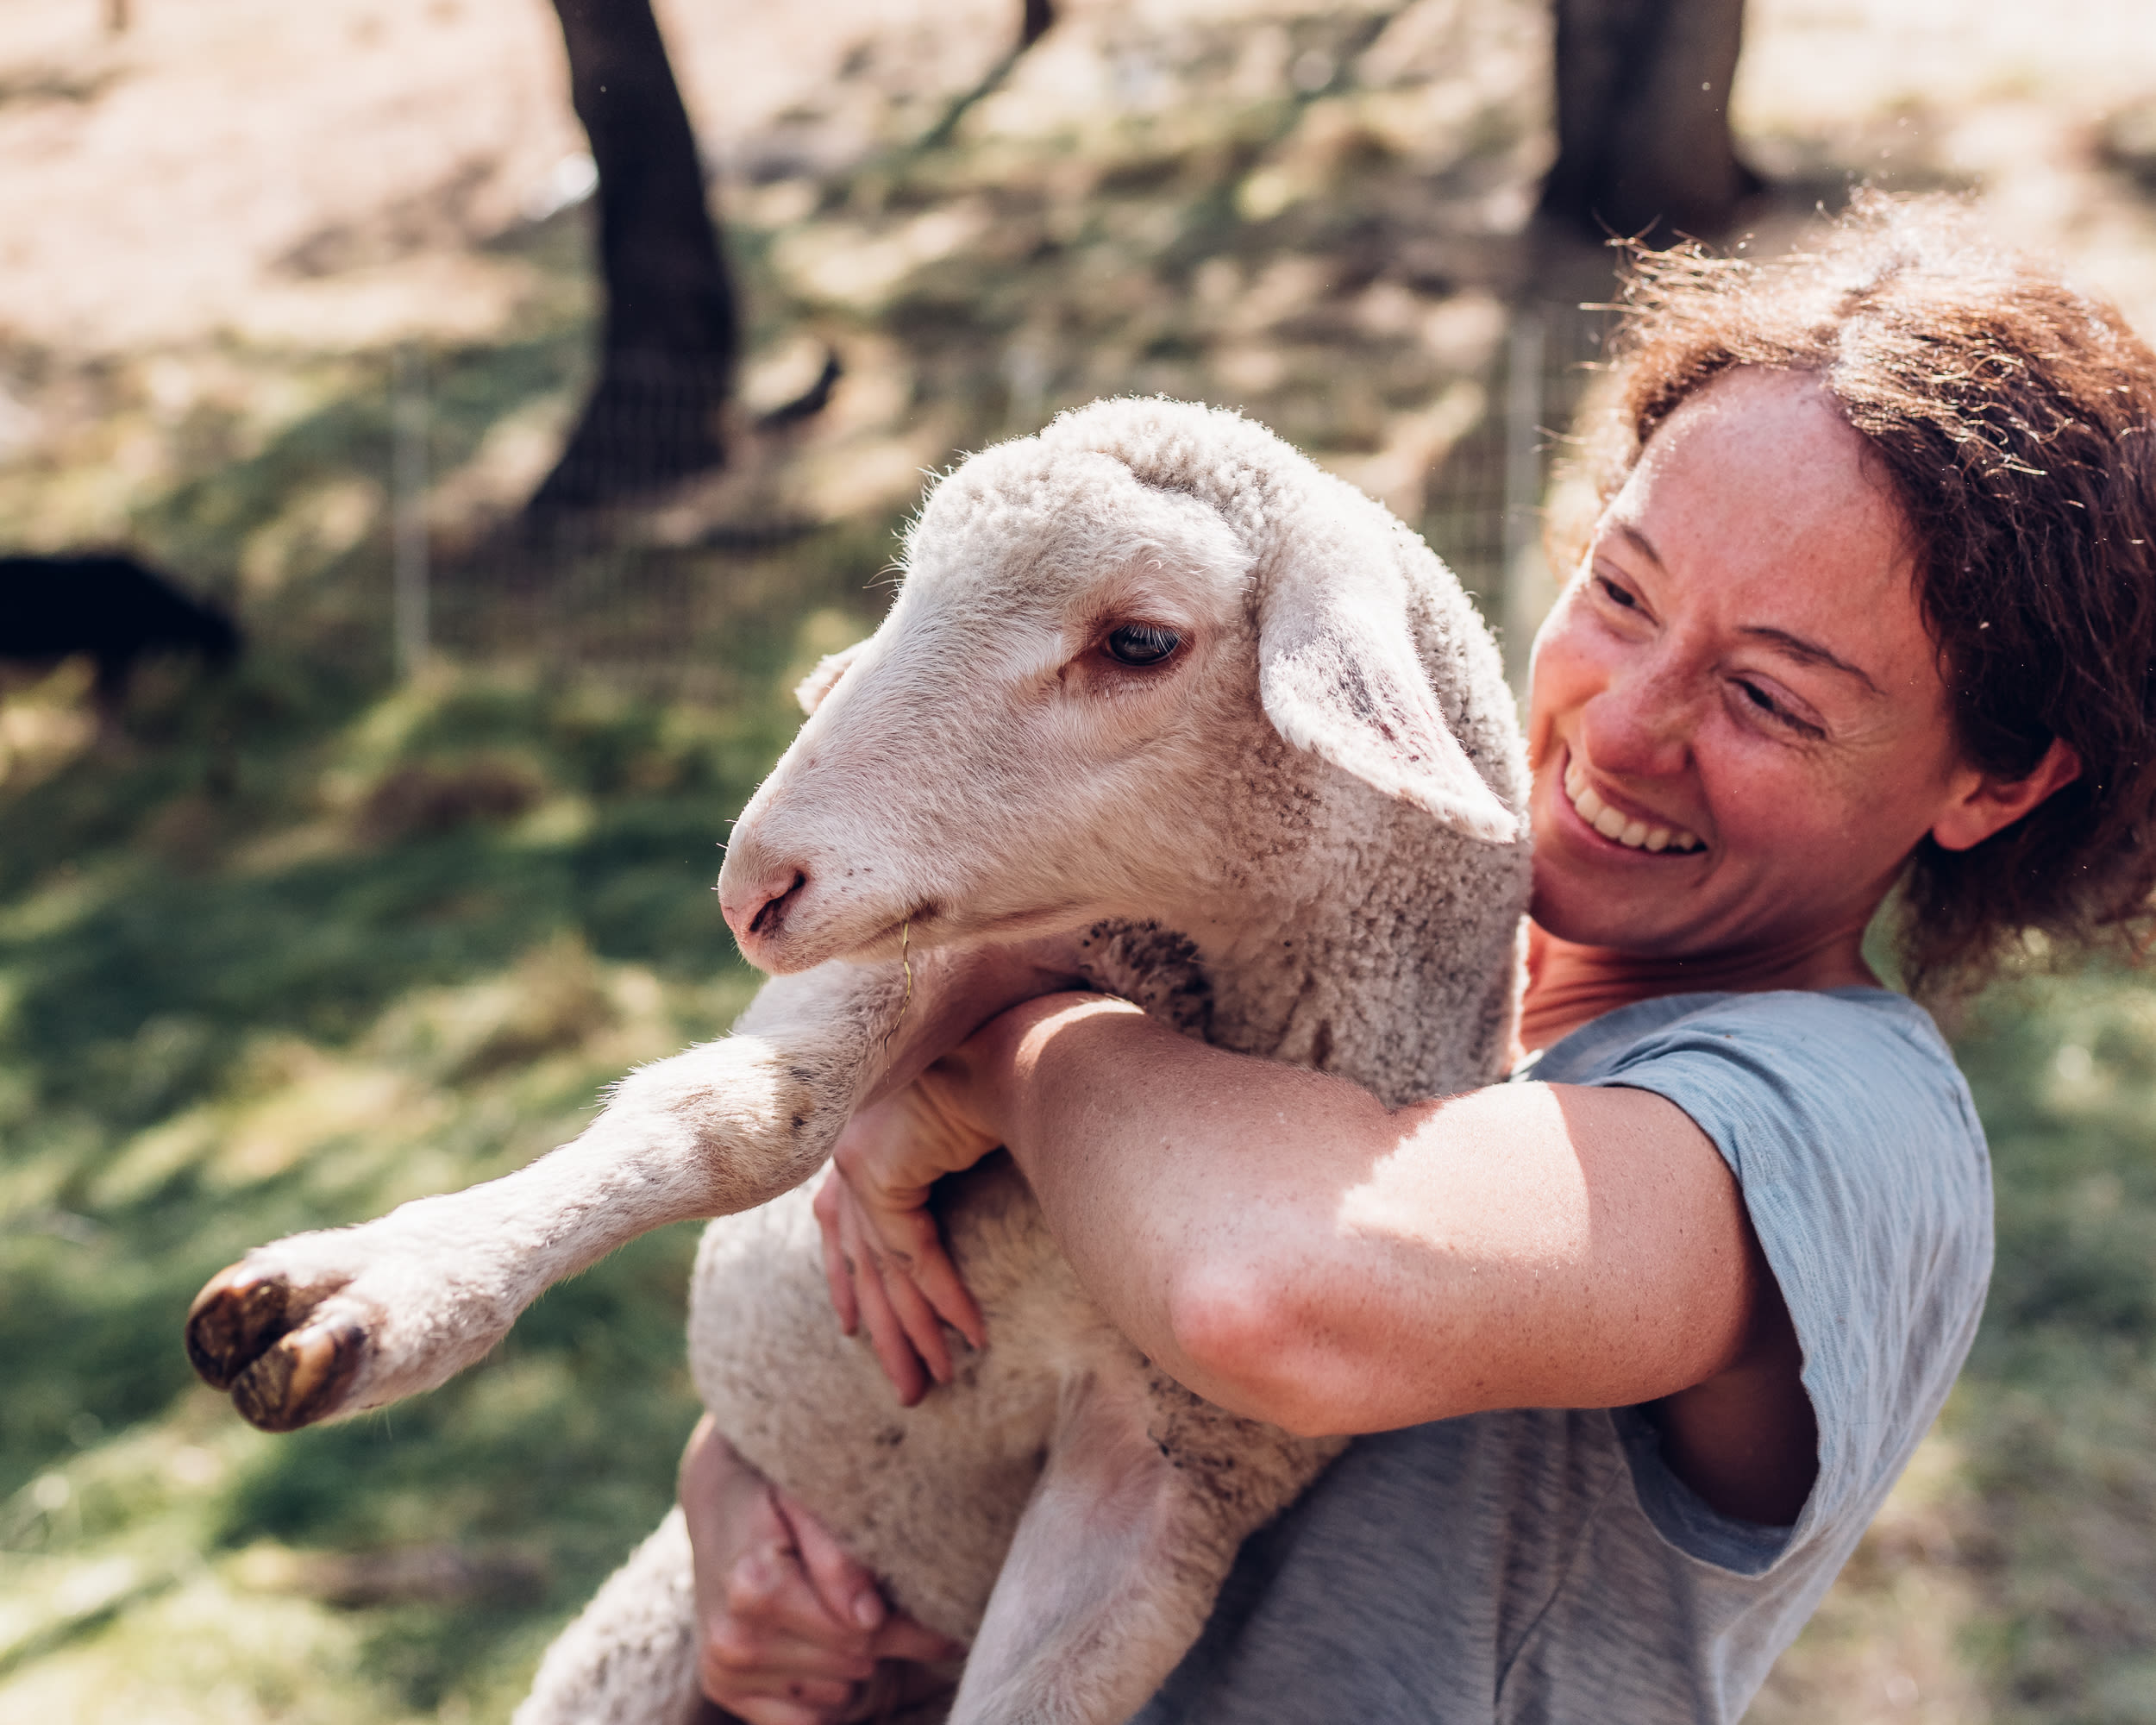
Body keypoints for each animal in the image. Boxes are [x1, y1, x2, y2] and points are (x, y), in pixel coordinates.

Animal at [184, 397, 1531, 1725]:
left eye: (1141, 641)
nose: (753, 883)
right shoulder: (932, 955)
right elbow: (743, 1119)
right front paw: (378, 1293)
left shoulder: (1172, 1477)